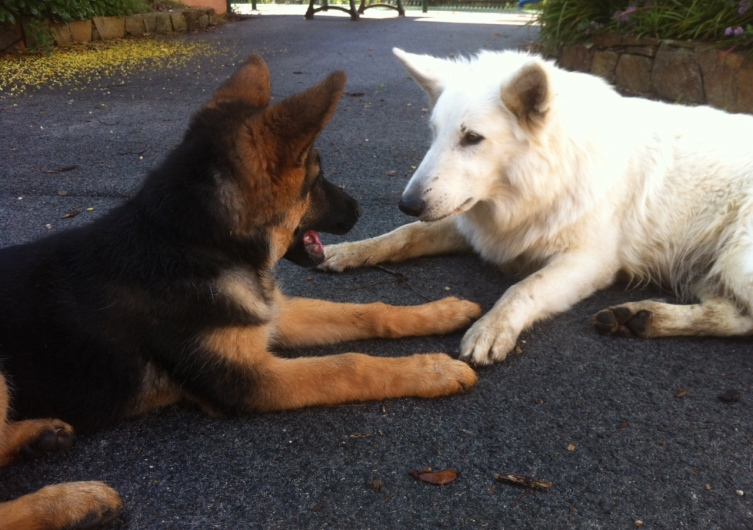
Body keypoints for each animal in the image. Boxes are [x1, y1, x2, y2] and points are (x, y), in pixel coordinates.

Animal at [0, 55, 482, 524]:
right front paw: (431, 370)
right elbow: (347, 365)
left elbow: (369, 311)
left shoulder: (268, 313)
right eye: (316, 179)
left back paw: (40, 435)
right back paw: (71, 501)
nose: (362, 209)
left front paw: (441, 312)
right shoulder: (244, 379)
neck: (192, 243)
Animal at [320, 48, 752, 364]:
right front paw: (350, 250)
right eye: (434, 134)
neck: (546, 178)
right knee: (732, 315)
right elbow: (402, 235)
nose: (407, 203)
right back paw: (645, 319)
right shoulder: (477, 227)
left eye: (472, 138)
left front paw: (492, 327)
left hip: (735, 260)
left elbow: (524, 288)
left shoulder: (588, 262)